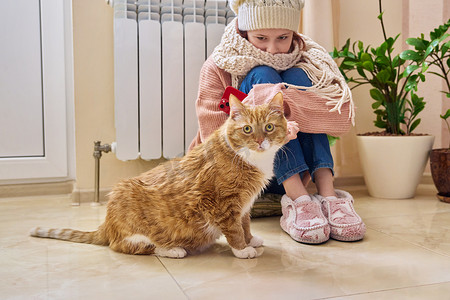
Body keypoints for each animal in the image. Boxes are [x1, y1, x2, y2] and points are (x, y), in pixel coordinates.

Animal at [29, 92, 286, 258]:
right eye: (247, 129)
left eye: (269, 128)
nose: (260, 141)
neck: (252, 159)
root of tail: (107, 223)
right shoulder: (223, 204)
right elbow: (233, 229)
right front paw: (242, 249)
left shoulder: (244, 205)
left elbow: (245, 224)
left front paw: (251, 239)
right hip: (129, 211)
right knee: (130, 246)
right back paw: (172, 249)